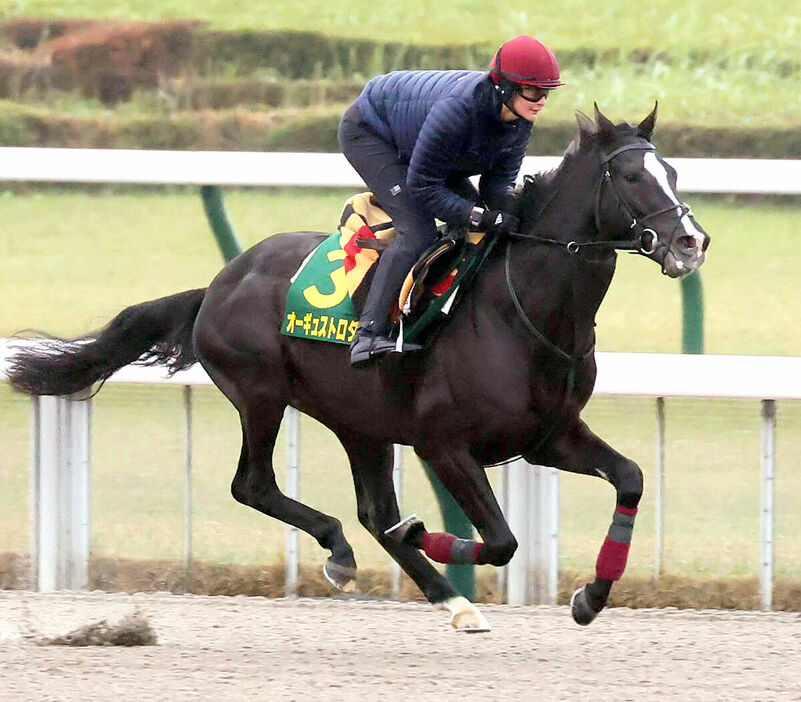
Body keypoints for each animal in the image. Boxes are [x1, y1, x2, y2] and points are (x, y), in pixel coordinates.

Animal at [6, 107, 708, 636]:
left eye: (672, 170)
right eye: (631, 175)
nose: (691, 242)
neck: (524, 310)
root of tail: (217, 284)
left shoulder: (547, 437)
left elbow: (630, 478)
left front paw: (590, 596)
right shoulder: (442, 443)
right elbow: (502, 541)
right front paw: (426, 532)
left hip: (360, 421)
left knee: (371, 510)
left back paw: (449, 599)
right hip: (261, 393)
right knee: (256, 486)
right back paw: (345, 553)